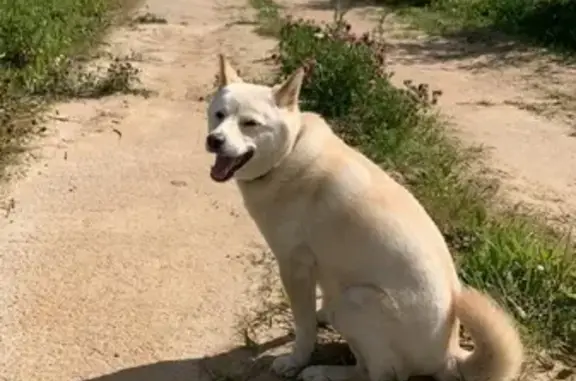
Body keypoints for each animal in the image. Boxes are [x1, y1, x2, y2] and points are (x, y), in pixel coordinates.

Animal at [205, 54, 524, 381]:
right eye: (219, 115)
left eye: (250, 124)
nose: (214, 140)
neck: (288, 153)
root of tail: (448, 356)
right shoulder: (324, 265)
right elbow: (320, 302)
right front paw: (320, 317)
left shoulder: (295, 267)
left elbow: (304, 328)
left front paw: (295, 360)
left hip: (354, 303)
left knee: (379, 374)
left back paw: (323, 371)